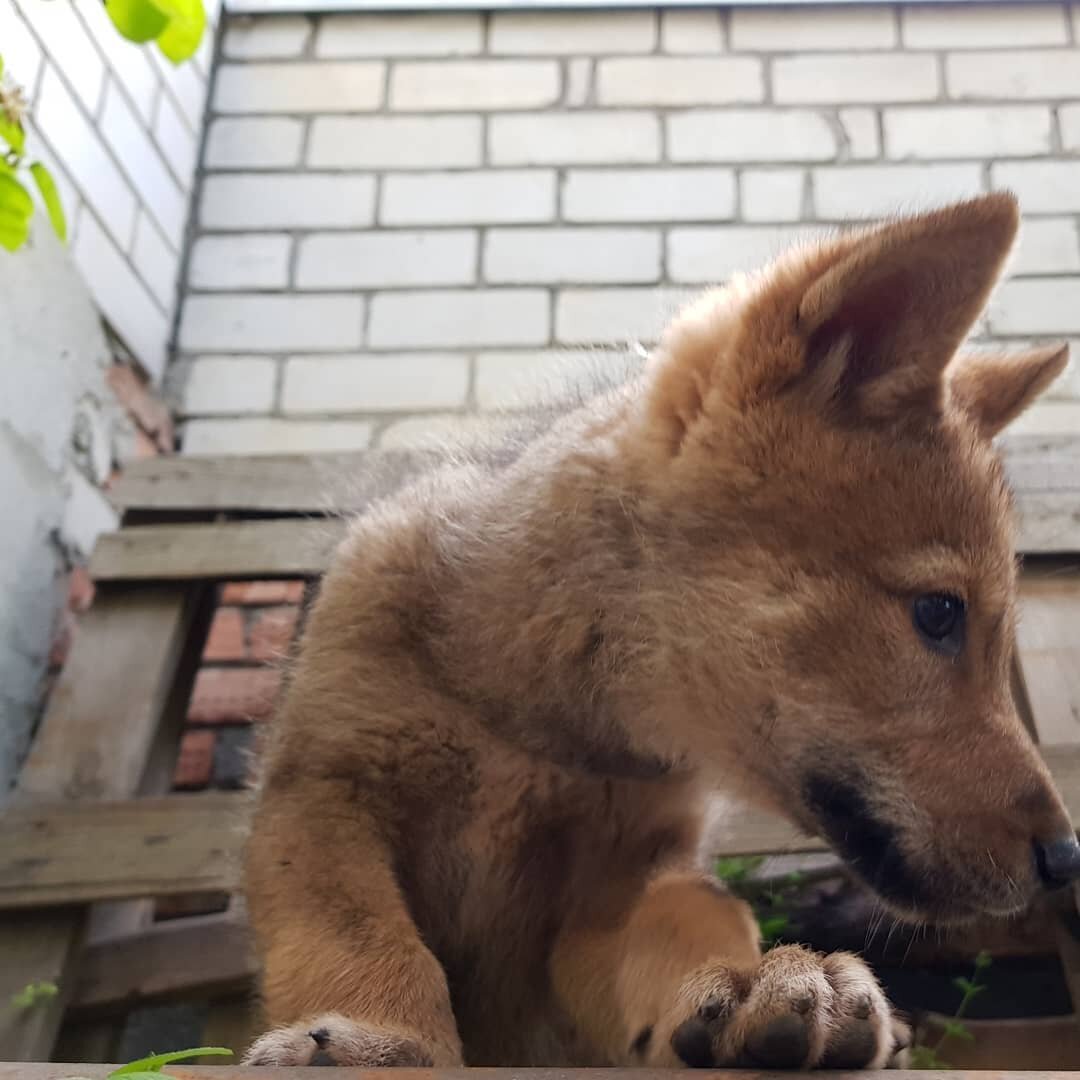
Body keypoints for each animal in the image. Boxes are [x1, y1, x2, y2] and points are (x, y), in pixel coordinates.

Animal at [245, 196, 1080, 1071]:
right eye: (939, 613)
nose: (1069, 861)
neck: (546, 725)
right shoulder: (320, 796)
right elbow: (362, 935)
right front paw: (386, 1037)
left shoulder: (627, 881)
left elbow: (690, 925)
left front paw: (753, 992)